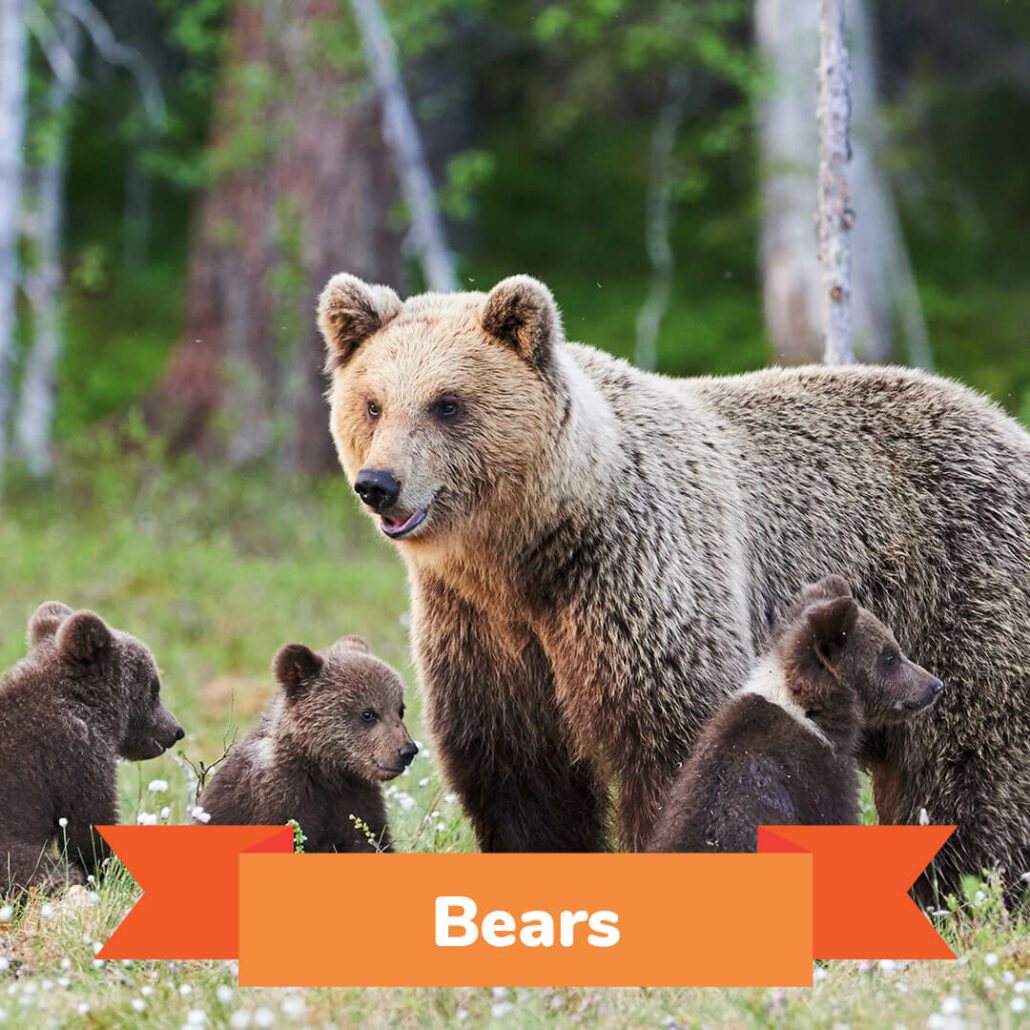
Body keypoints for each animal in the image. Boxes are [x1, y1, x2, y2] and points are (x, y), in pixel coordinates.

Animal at [317, 273, 1025, 894]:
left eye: (447, 403)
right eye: (372, 403)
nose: (379, 484)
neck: (528, 548)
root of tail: (1001, 419)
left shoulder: (635, 580)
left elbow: (672, 740)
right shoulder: (480, 627)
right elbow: (519, 773)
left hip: (958, 591)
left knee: (970, 758)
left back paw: (965, 886)